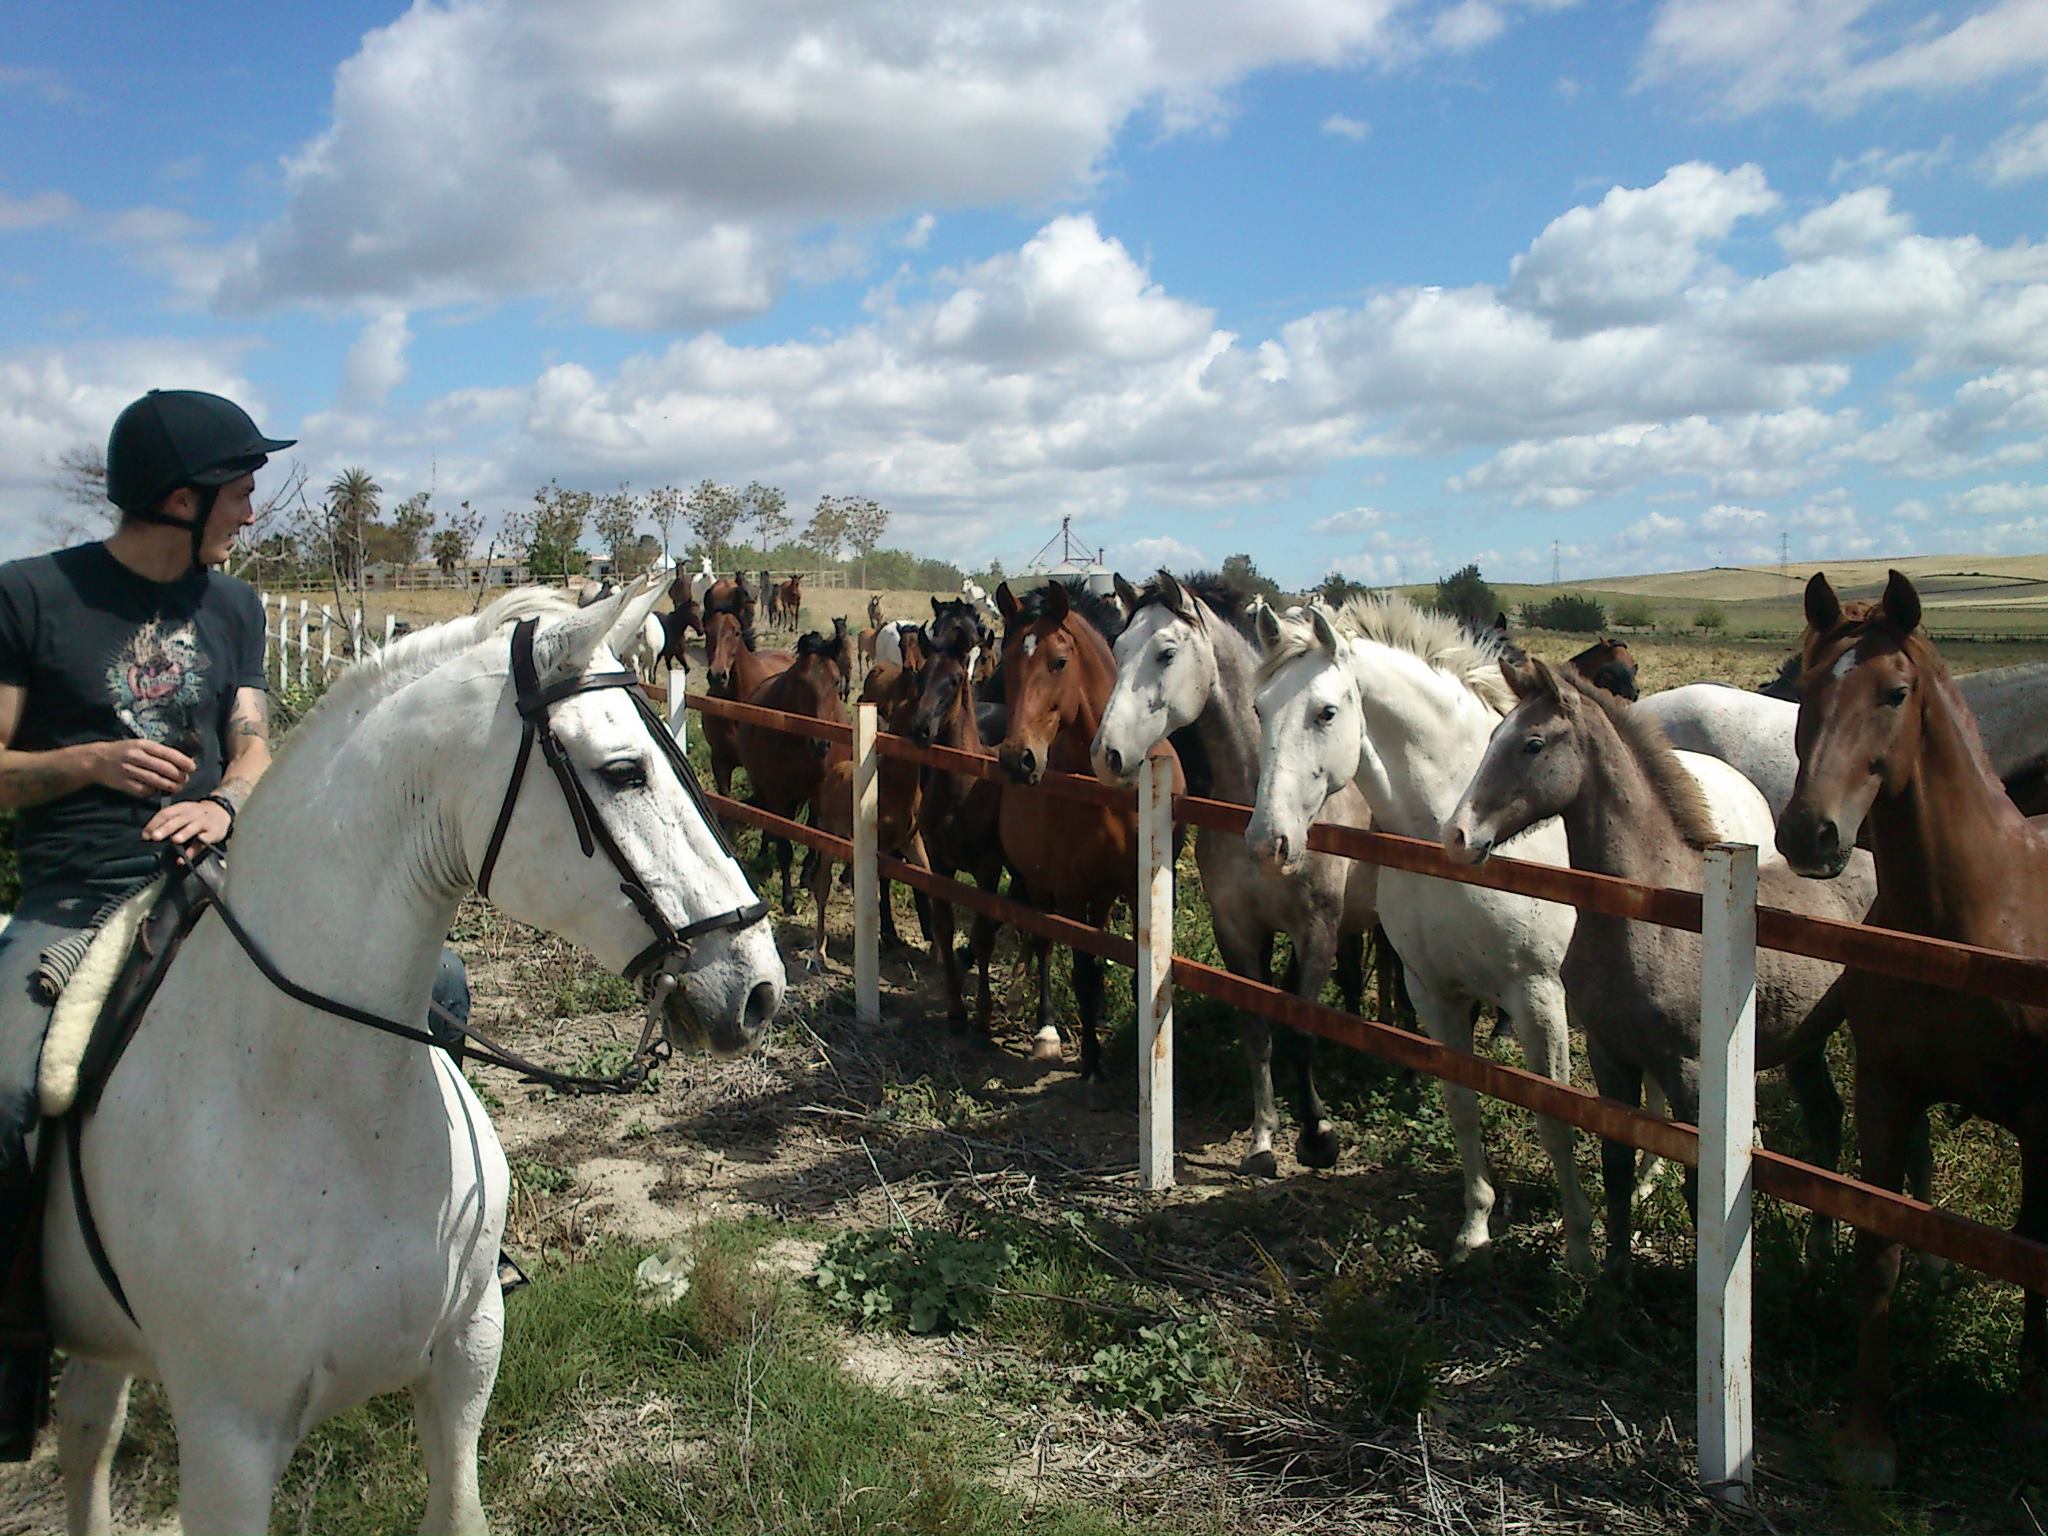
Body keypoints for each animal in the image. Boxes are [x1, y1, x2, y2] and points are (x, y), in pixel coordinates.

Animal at [737, 626, 847, 909]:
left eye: (836, 681)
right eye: (801, 681)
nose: (820, 743)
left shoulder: (818, 792)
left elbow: (814, 834)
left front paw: (808, 875)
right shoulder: (777, 793)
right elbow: (784, 846)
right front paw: (788, 899)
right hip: (765, 788)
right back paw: (763, 853)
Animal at [995, 581, 1187, 1097]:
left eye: (1058, 662)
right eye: (1004, 660)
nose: (1018, 759)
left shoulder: (1142, 889)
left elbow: (1140, 973)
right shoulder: (1072, 887)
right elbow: (1083, 969)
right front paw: (1093, 1067)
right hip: (1042, 883)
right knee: (1044, 944)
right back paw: (1047, 1032)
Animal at [1236, 602, 1769, 1277]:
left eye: (1326, 712)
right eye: (1260, 709)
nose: (1267, 842)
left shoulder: (1536, 999)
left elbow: (1554, 1119)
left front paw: (1580, 1247)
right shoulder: (1434, 995)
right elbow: (1462, 1106)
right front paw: (1475, 1226)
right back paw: (1648, 1179)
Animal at [1777, 569, 2048, 1490]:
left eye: (1895, 693)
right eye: (1806, 687)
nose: (1809, 832)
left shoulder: (2043, 1121)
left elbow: (2030, 1251)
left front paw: (2025, 1416)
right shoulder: (1887, 1088)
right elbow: (1879, 1247)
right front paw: (1867, 1433)